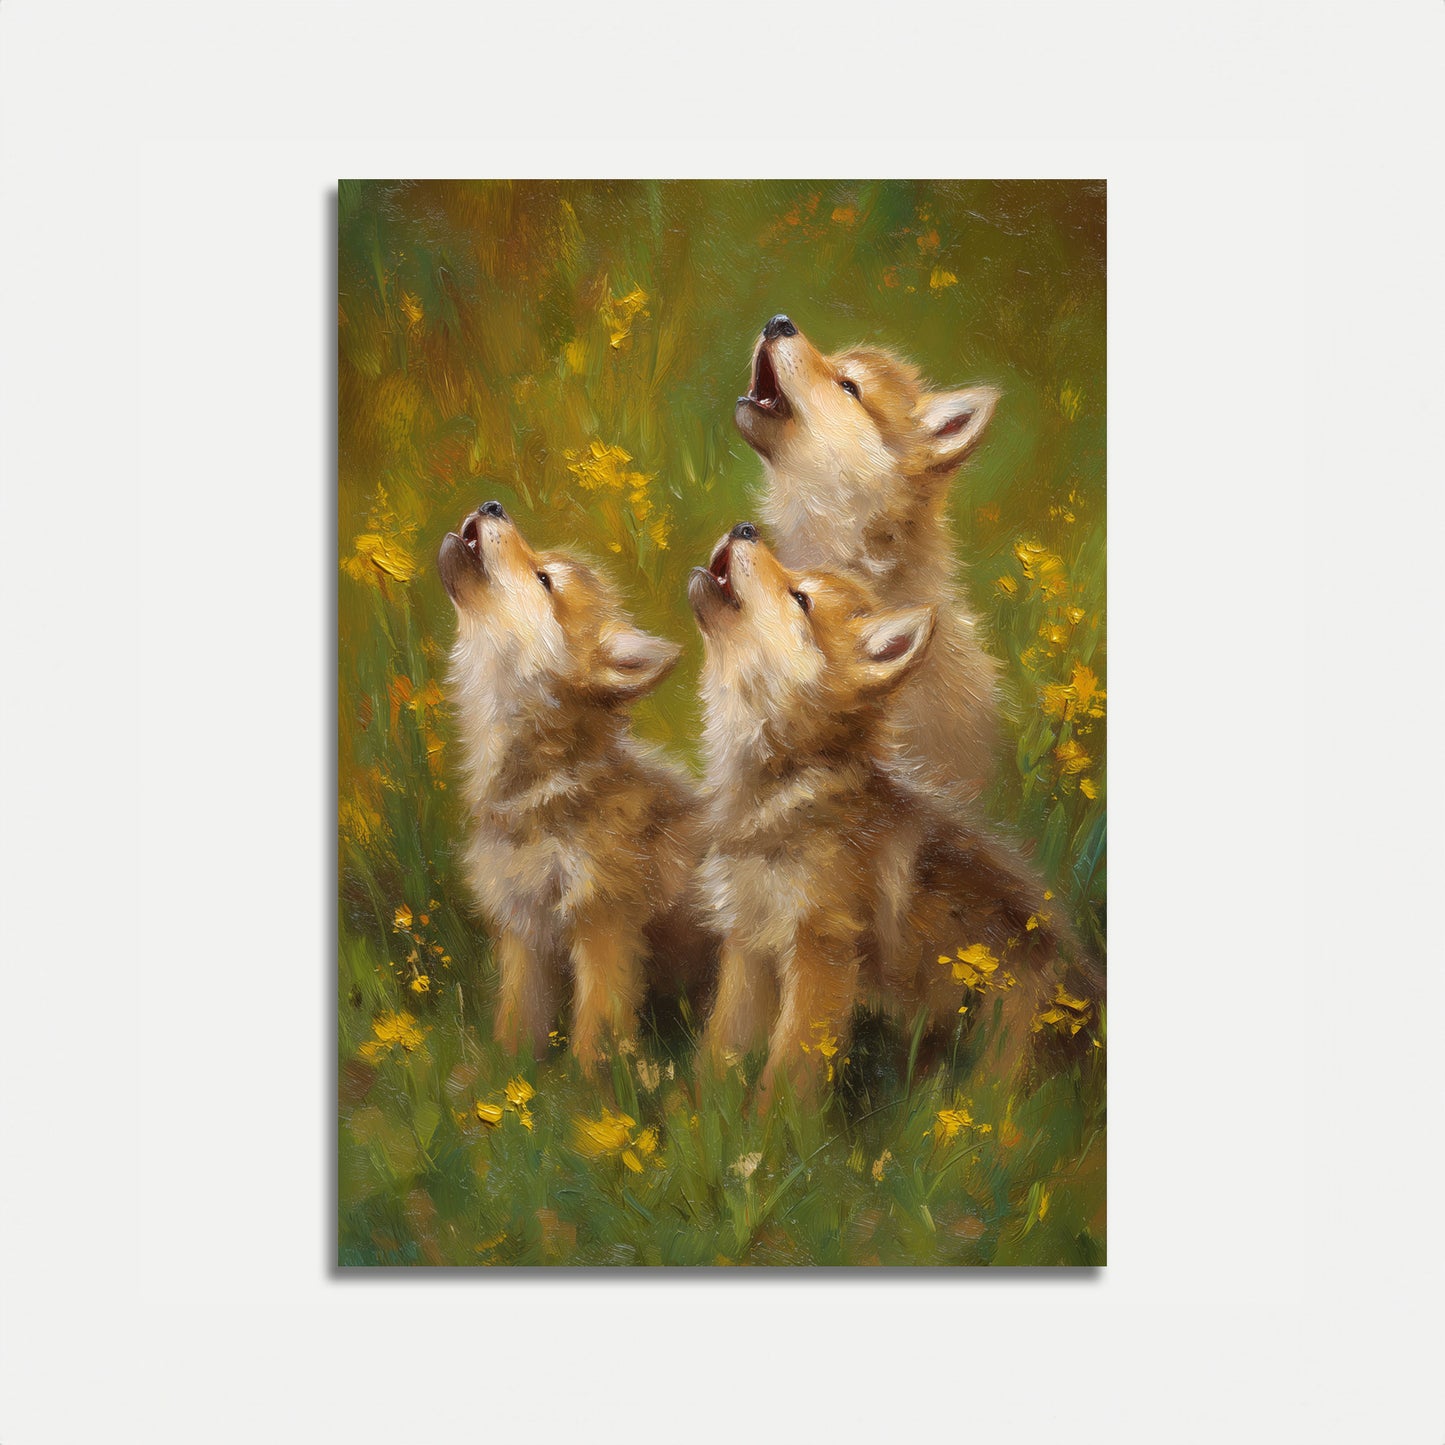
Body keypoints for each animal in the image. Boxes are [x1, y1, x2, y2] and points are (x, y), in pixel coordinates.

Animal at [438, 501, 716, 1072]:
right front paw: (503, 1079)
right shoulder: (524, 926)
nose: (492, 505)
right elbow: (516, 1025)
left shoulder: (602, 922)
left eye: (544, 580)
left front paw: (594, 1094)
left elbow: (596, 1036)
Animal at [687, 524, 1094, 1103]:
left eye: (800, 598)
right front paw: (699, 1120)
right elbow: (719, 1059)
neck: (783, 786)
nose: (745, 528)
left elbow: (786, 1078)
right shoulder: (748, 944)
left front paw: (772, 1129)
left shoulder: (821, 952)